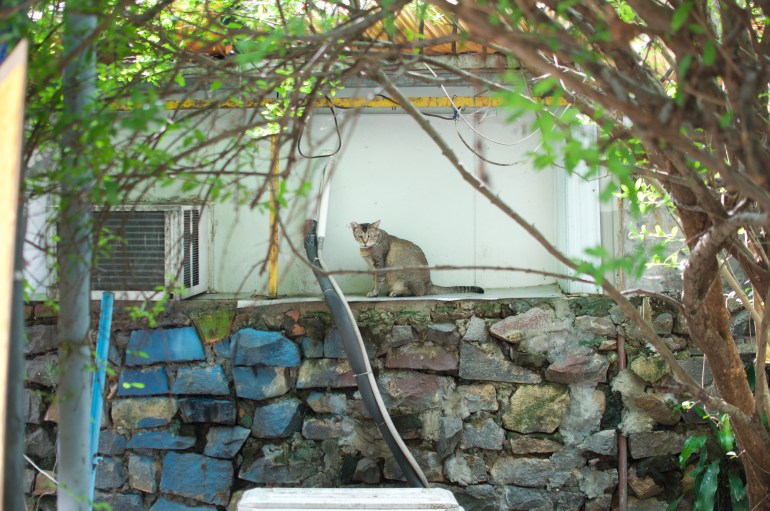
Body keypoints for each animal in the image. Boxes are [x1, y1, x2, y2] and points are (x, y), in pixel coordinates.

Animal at [350, 220, 484, 297]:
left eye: (370, 236)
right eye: (360, 236)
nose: (365, 242)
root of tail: (429, 284)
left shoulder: (380, 266)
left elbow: (378, 282)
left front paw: (374, 293)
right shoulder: (373, 268)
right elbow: (374, 281)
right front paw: (371, 290)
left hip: (406, 275)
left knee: (417, 293)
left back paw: (396, 292)